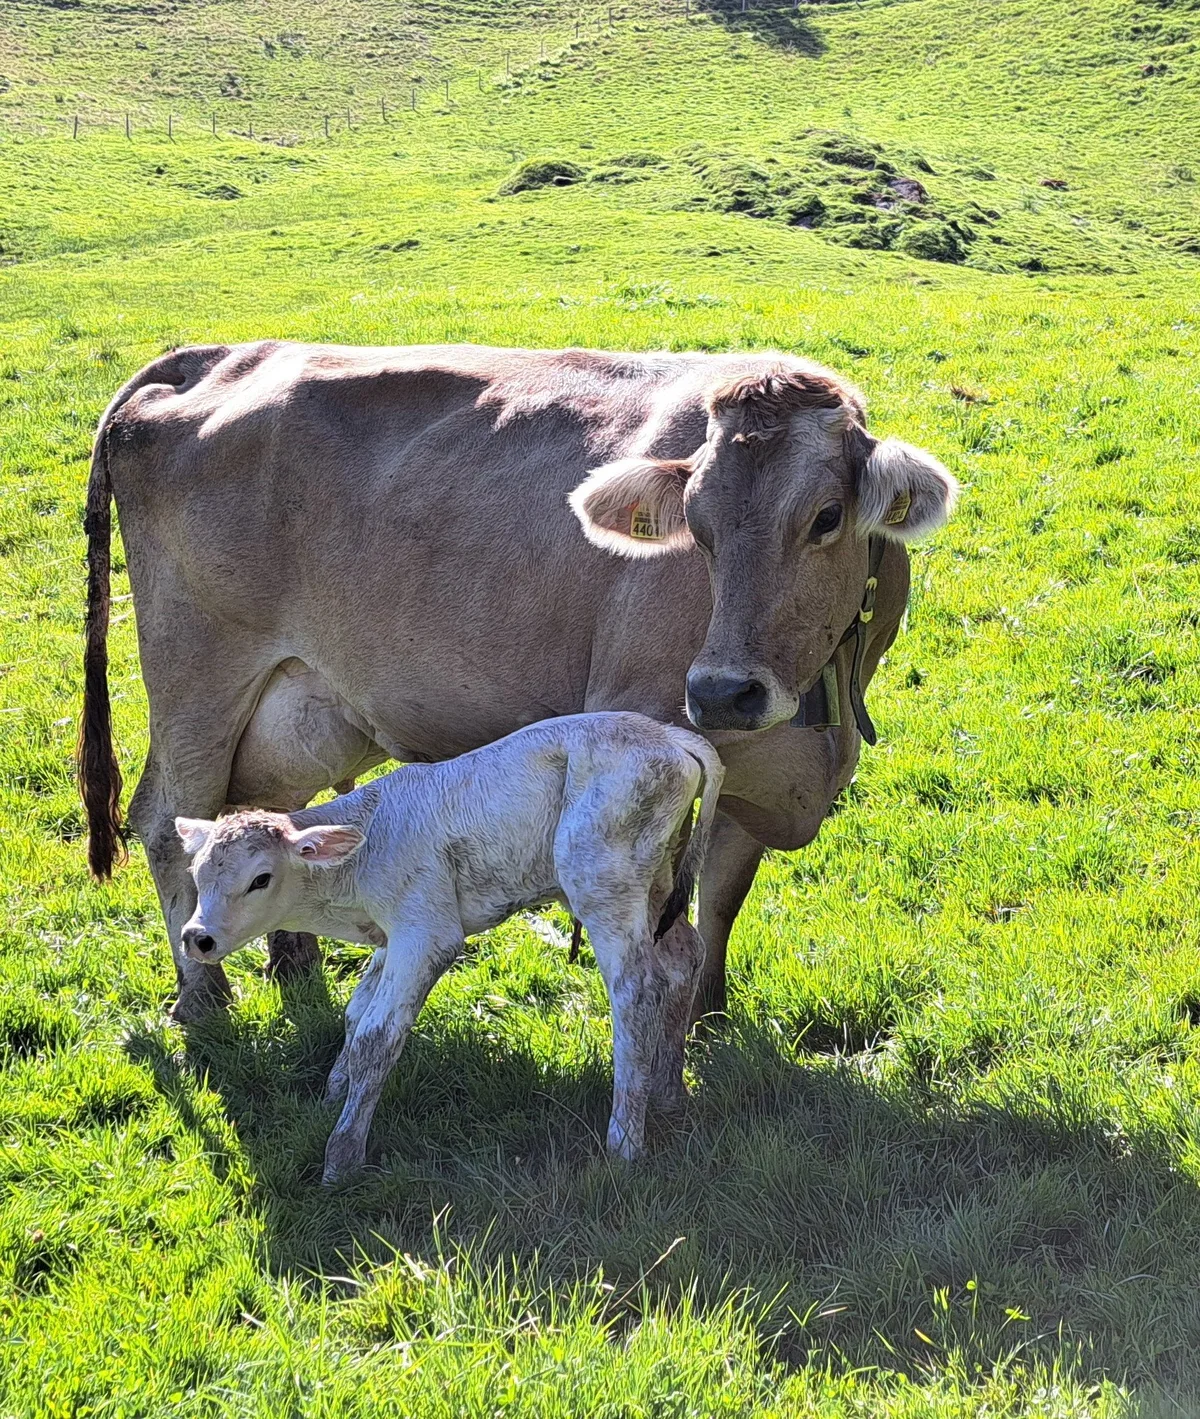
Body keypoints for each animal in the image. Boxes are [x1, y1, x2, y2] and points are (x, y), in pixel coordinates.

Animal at [77, 341, 956, 1024]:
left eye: (827, 516)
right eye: (697, 529)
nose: (719, 694)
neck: (810, 732)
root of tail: (217, 354)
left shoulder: (748, 789)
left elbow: (720, 905)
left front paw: (710, 1020)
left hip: (298, 701)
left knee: (266, 805)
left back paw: (289, 953)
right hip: (196, 670)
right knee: (165, 818)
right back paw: (203, 993)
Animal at [174, 711, 724, 1182]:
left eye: (260, 879)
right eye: (196, 873)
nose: (196, 937)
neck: (367, 846)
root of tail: (667, 734)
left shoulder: (426, 935)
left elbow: (377, 1036)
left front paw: (342, 1154)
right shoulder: (393, 935)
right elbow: (355, 1014)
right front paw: (332, 1094)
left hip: (602, 883)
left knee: (635, 990)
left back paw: (625, 1141)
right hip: (657, 883)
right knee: (684, 958)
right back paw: (668, 1094)